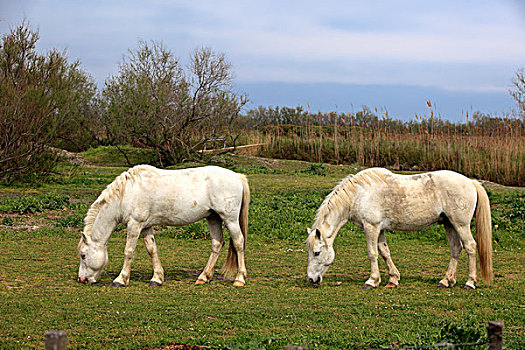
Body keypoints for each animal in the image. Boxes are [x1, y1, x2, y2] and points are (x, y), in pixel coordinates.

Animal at [78, 165, 250, 288]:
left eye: (83, 255)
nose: (82, 279)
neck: (126, 193)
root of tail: (237, 176)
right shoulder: (145, 227)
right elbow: (152, 250)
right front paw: (157, 278)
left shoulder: (134, 225)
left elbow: (128, 251)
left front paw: (120, 279)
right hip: (213, 218)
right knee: (217, 244)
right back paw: (204, 277)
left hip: (230, 219)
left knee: (238, 243)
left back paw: (239, 279)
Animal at [304, 168, 494, 288]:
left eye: (317, 253)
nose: (311, 279)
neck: (358, 194)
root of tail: (470, 182)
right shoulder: (379, 229)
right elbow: (384, 252)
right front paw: (393, 279)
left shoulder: (371, 227)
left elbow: (372, 253)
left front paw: (372, 281)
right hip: (449, 224)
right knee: (456, 249)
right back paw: (446, 281)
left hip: (460, 225)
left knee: (470, 247)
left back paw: (470, 283)